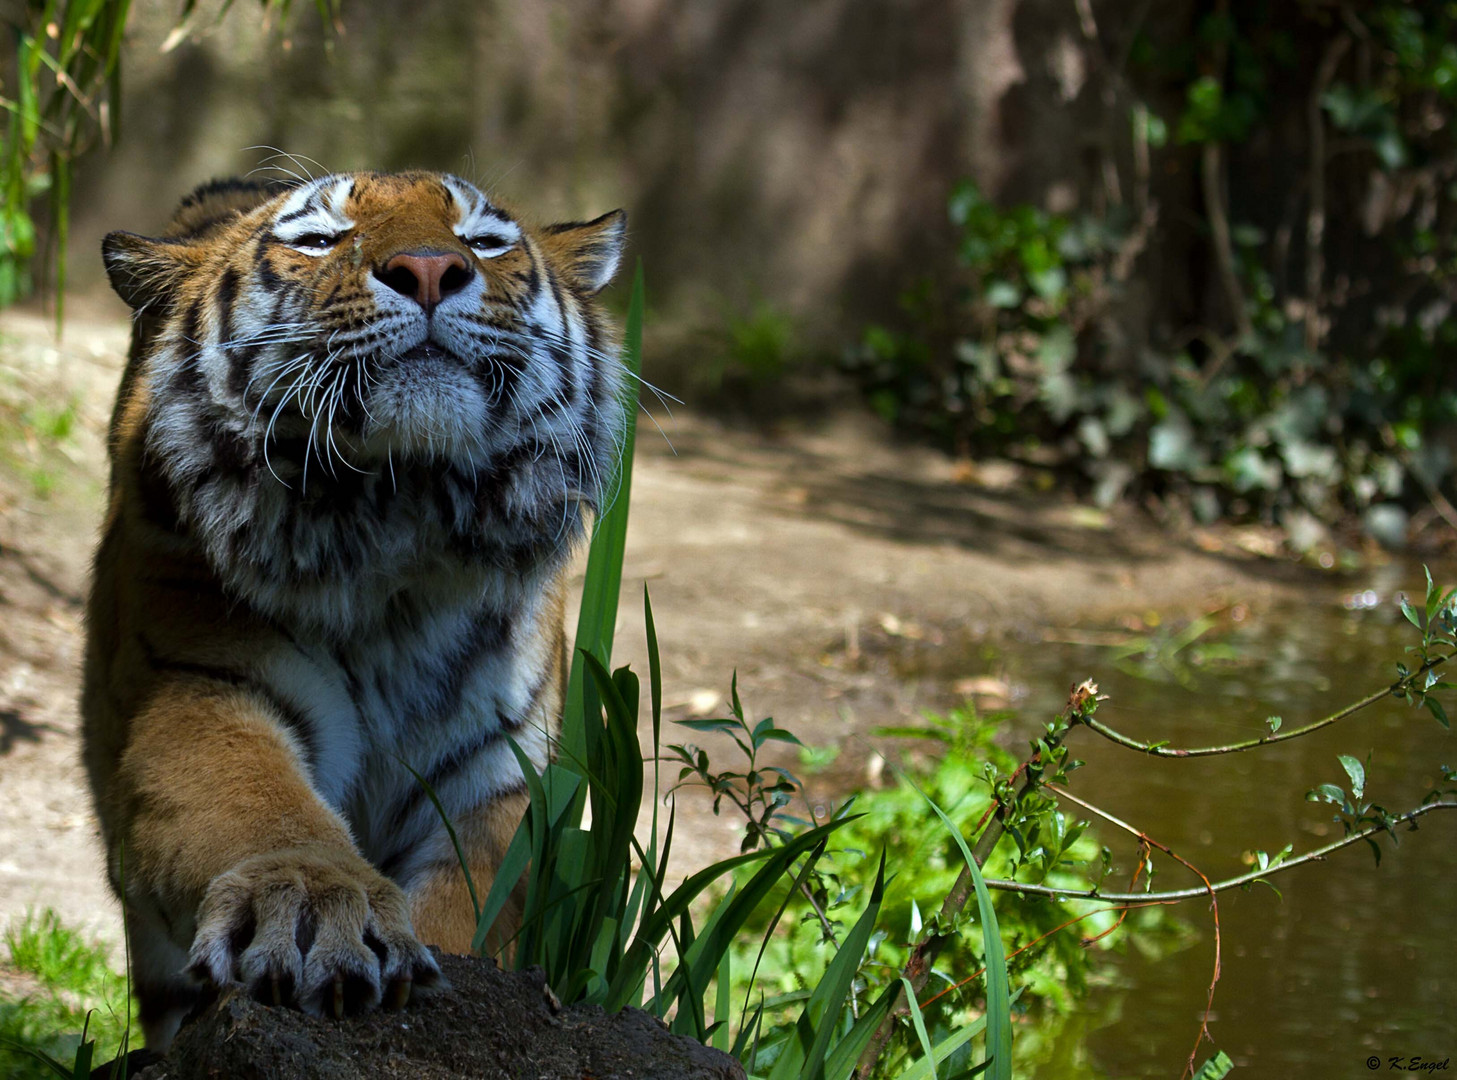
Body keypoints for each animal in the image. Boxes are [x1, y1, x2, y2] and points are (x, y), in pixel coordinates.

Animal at [79, 172, 626, 1049]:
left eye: (483, 241)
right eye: (317, 240)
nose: (430, 269)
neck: (399, 533)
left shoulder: (501, 779)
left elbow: (472, 910)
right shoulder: (204, 689)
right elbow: (256, 807)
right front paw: (313, 911)